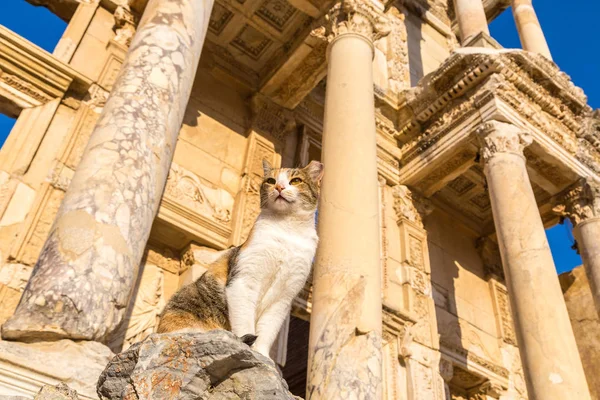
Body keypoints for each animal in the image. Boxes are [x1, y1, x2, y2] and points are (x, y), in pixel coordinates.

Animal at [156, 158, 324, 358]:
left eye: (296, 180)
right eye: (271, 180)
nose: (279, 187)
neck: (287, 230)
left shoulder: (284, 297)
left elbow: (267, 331)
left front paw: (262, 355)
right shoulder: (244, 281)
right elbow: (245, 323)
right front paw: (249, 352)